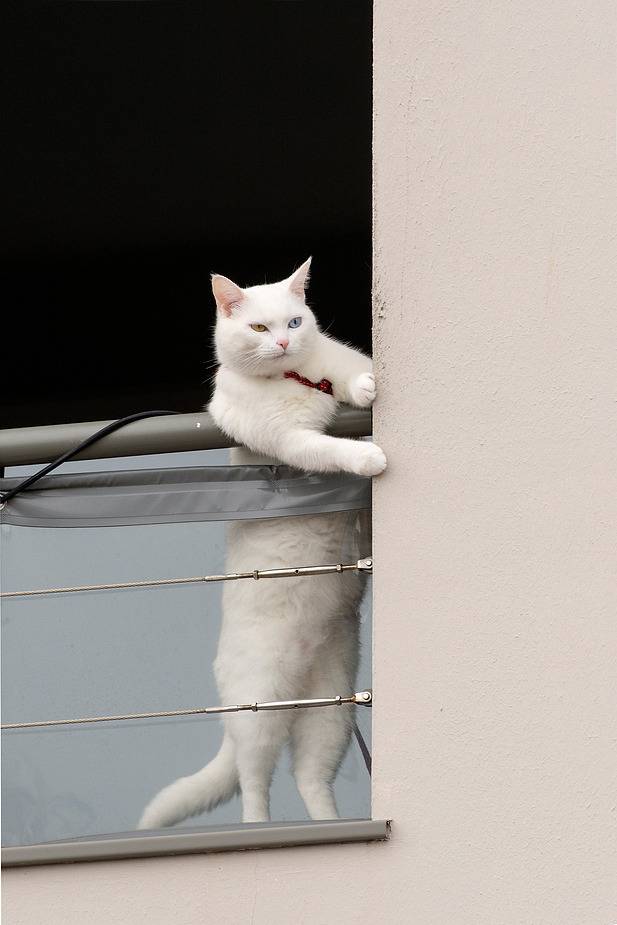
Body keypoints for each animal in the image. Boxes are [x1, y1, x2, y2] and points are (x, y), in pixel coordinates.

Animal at [137, 264, 382, 828]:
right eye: (258, 328)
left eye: (294, 320)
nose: (286, 342)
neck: (300, 381)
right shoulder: (291, 443)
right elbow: (332, 449)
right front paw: (369, 458)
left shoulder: (335, 364)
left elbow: (354, 376)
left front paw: (365, 386)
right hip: (258, 710)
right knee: (254, 780)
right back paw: (259, 827)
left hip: (331, 714)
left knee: (310, 777)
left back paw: (330, 828)